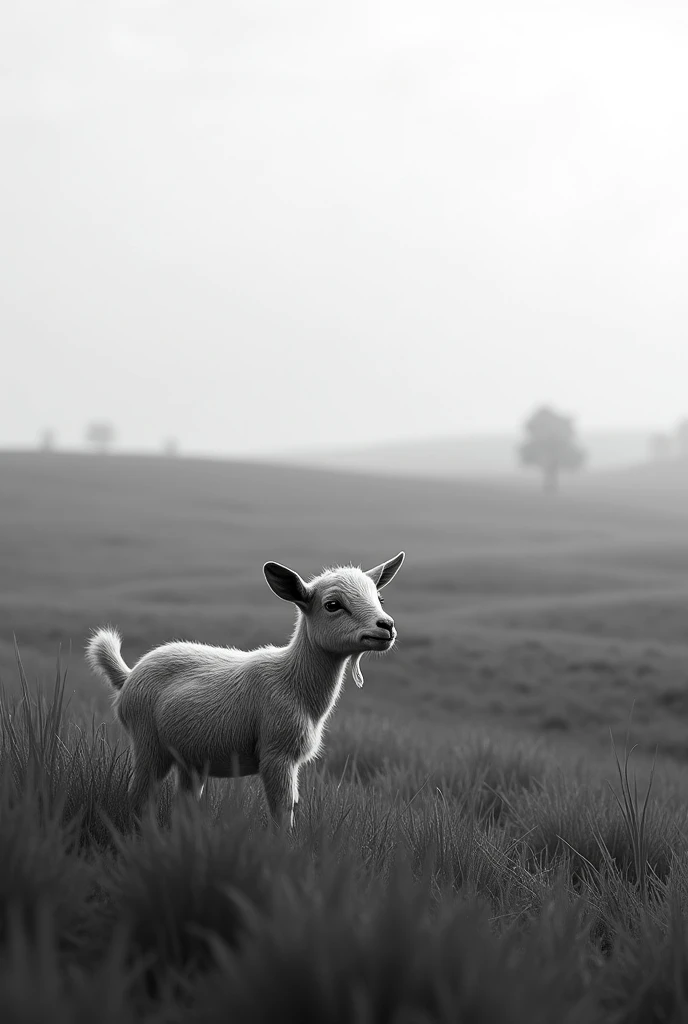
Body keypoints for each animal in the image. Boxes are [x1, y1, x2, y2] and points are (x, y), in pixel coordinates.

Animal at [85, 548, 403, 827]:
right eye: (333, 605)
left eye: (379, 597)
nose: (386, 626)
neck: (293, 680)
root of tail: (128, 675)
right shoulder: (276, 754)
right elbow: (282, 811)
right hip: (148, 742)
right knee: (139, 796)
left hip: (189, 757)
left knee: (183, 802)